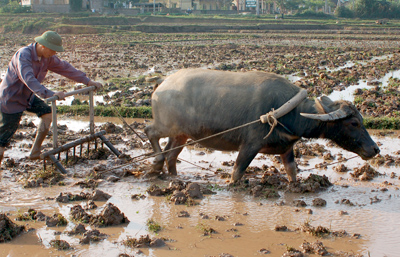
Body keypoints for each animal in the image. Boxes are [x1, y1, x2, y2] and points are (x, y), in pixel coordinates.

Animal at [144, 68, 378, 182]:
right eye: (354, 123)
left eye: (361, 120)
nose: (375, 149)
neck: (288, 111)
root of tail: (163, 82)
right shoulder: (250, 146)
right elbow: (237, 173)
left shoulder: (287, 149)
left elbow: (292, 172)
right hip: (166, 126)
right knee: (150, 132)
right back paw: (155, 164)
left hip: (181, 134)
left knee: (171, 155)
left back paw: (173, 176)